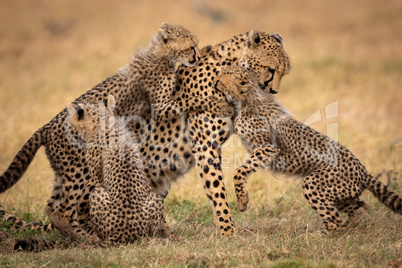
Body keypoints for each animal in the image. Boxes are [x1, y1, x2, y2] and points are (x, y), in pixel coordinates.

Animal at [215, 66, 400, 232]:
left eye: (225, 75)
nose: (216, 79)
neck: (246, 100)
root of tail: (363, 170)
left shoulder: (268, 148)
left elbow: (239, 171)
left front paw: (242, 201)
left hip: (313, 183)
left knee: (335, 222)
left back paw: (318, 235)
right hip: (342, 194)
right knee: (361, 206)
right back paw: (348, 227)